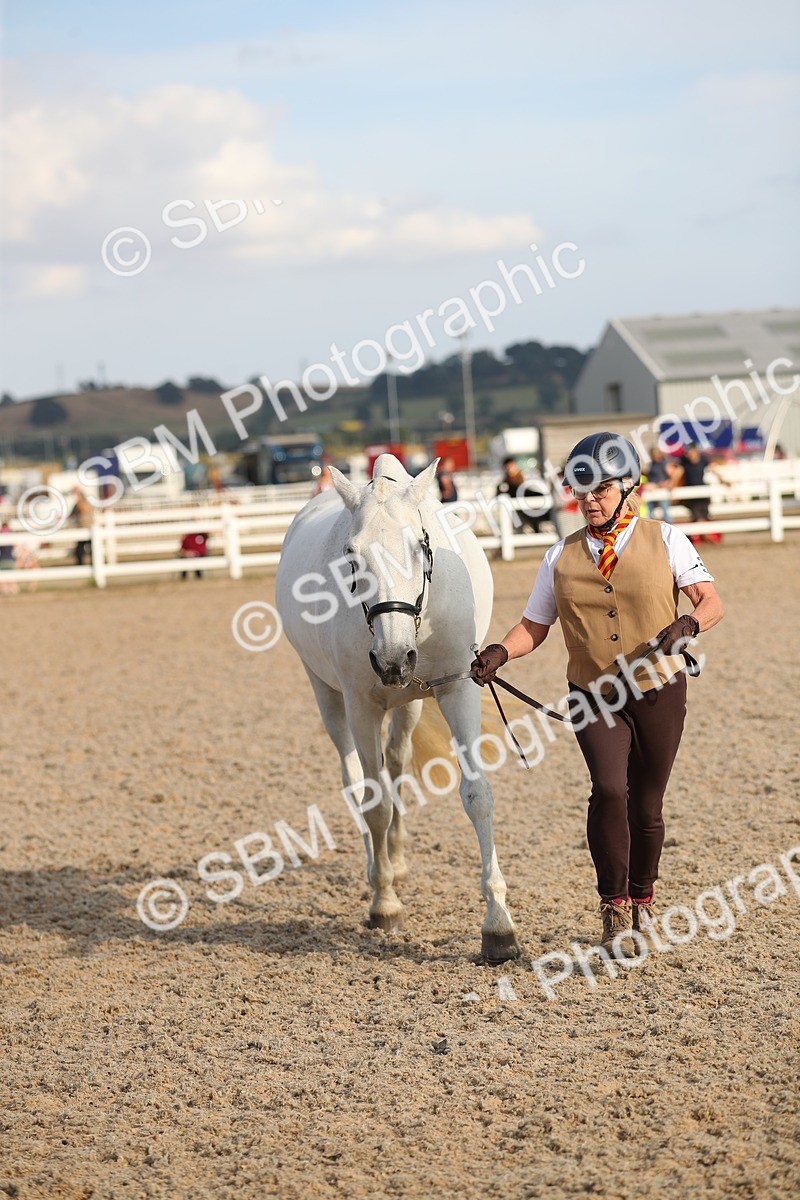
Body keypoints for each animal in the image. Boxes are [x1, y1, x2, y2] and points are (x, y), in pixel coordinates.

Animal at [275, 454, 521, 962]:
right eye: (352, 555)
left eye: (420, 548)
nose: (393, 660)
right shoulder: (361, 706)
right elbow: (374, 804)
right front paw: (384, 904)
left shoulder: (459, 689)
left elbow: (476, 796)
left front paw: (498, 925)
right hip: (327, 696)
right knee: (356, 783)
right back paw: (378, 869)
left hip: (408, 704)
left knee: (399, 762)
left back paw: (398, 856)